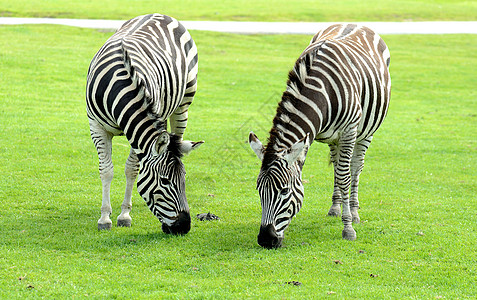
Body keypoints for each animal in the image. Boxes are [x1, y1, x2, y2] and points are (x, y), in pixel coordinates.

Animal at [86, 13, 202, 234]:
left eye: (183, 179)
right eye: (165, 181)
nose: (184, 227)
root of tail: (161, 14)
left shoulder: (137, 134)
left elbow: (132, 169)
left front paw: (124, 214)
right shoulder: (97, 127)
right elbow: (106, 171)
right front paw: (105, 217)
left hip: (183, 104)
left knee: (178, 137)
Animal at [249, 23, 390, 248]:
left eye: (284, 191)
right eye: (259, 190)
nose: (265, 239)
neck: (320, 90)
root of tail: (355, 23)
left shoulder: (349, 130)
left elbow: (344, 177)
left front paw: (348, 228)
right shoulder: (314, 134)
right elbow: (337, 173)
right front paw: (339, 211)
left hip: (366, 131)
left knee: (355, 167)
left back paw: (354, 211)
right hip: (333, 138)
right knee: (338, 165)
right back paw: (335, 207)